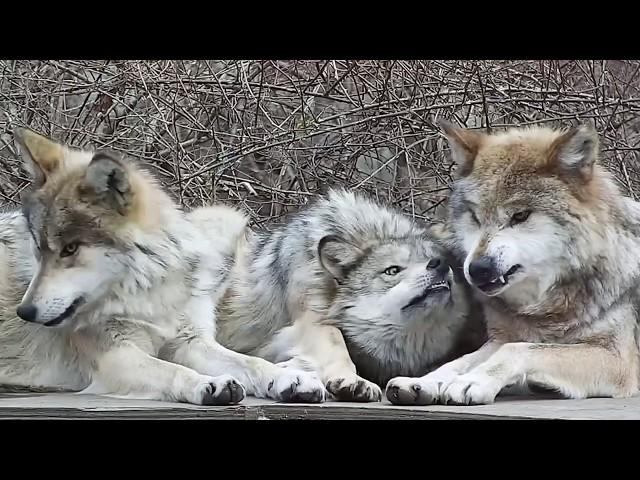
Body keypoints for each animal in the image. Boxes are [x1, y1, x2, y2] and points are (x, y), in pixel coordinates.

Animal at [0, 128, 324, 404]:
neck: (150, 293)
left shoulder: (190, 341)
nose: (24, 312)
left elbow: (251, 361)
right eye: (39, 248)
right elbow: (172, 371)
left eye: (70, 249)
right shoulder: (116, 356)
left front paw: (289, 378)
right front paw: (208, 384)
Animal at [215, 188, 484, 402]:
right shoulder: (310, 319)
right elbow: (337, 343)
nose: (439, 265)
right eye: (393, 270)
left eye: (433, 258)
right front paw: (352, 381)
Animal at [384, 120, 640, 404]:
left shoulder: (617, 358)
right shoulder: (499, 338)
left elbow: (519, 350)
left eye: (520, 215)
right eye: (475, 217)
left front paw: (472, 382)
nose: (477, 269)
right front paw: (424, 381)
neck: (546, 308)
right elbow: (461, 361)